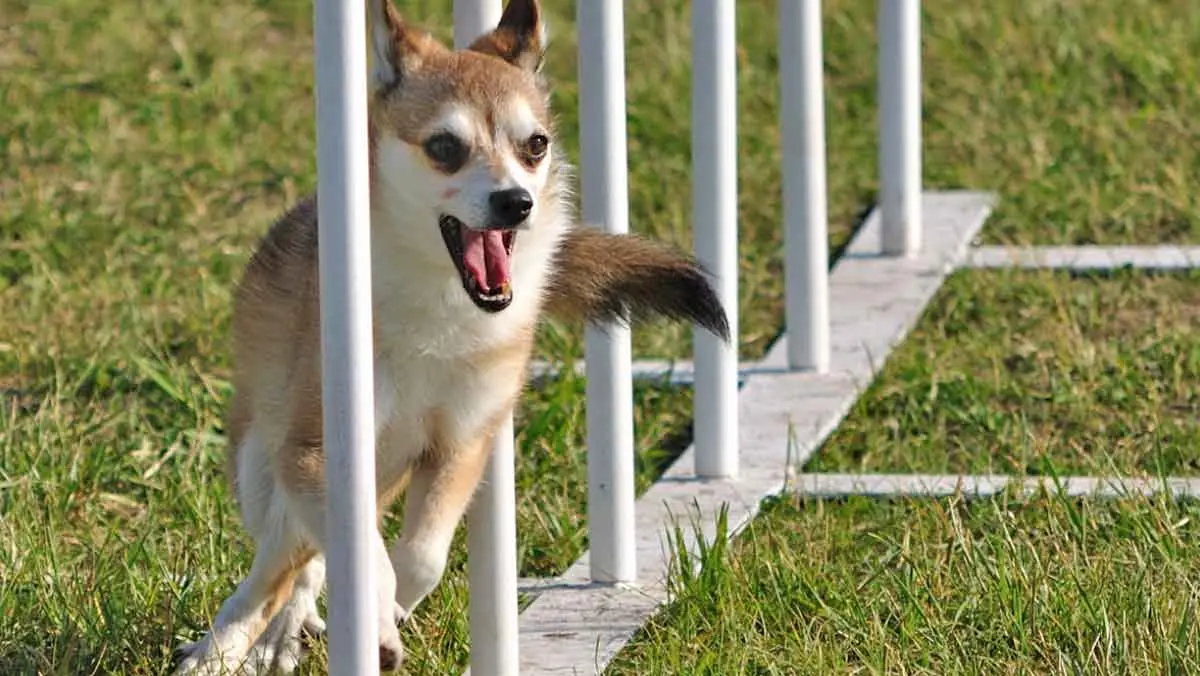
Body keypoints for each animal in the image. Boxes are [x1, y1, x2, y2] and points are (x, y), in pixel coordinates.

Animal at [172, 0, 724, 672]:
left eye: (535, 145)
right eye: (444, 147)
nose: (516, 202)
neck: (439, 310)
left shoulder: (461, 443)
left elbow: (420, 558)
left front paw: (390, 616)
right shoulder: (313, 453)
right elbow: (361, 559)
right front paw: (375, 625)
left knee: (307, 558)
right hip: (261, 460)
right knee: (278, 563)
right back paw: (230, 645)